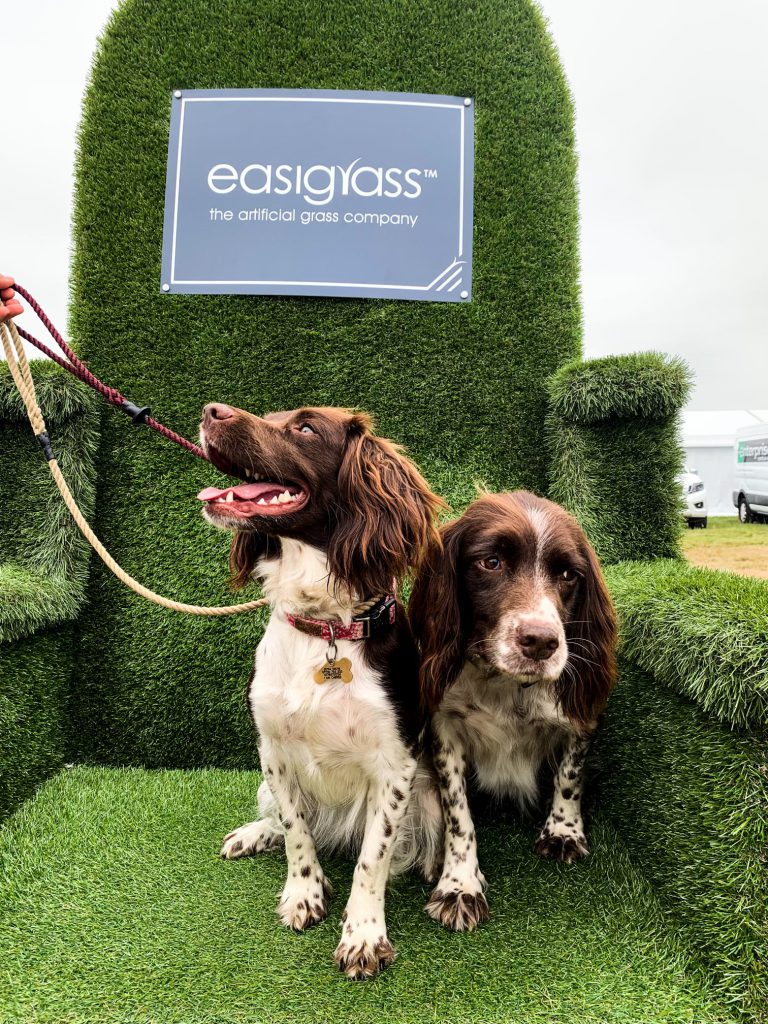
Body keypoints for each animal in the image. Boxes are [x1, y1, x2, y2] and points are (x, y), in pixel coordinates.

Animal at [198, 397, 444, 974]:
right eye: (271, 416)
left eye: (305, 428)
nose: (210, 410)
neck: (324, 626)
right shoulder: (273, 749)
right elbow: (295, 830)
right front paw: (303, 894)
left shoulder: (395, 765)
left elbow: (372, 858)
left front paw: (363, 934)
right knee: (281, 816)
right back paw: (252, 834)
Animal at [409, 491, 618, 933]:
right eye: (491, 562)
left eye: (568, 574)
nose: (541, 641)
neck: (507, 685)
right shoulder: (443, 728)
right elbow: (457, 813)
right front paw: (459, 884)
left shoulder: (581, 719)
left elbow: (569, 776)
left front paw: (564, 831)